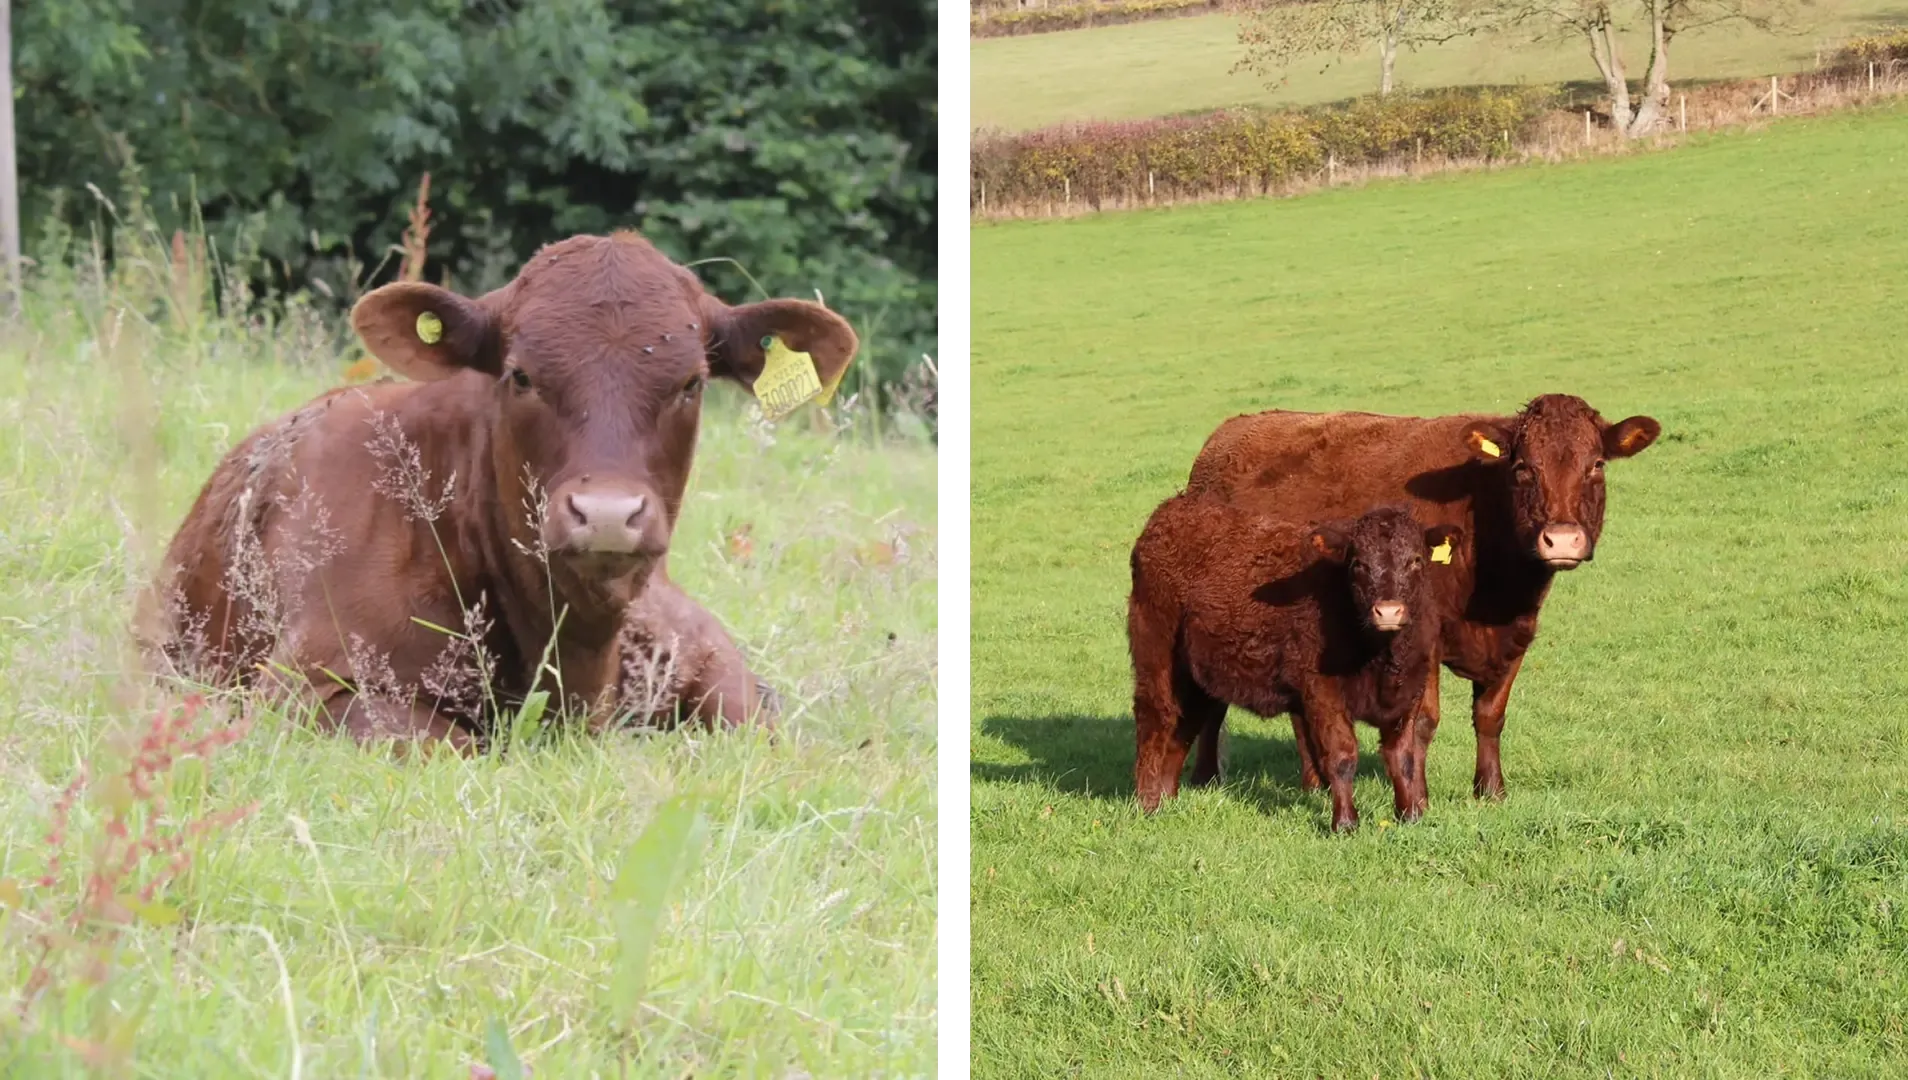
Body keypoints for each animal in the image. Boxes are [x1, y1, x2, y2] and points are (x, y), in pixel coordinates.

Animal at [1128, 497, 1461, 832]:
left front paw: (1410, 815)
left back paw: (1168, 798)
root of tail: (1170, 511)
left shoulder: (1410, 690)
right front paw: (1345, 823)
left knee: (1183, 727)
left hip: (1196, 677)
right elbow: (1342, 754)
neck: (1382, 658)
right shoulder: (1322, 689)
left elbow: (1402, 757)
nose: (1389, 612)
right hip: (1156, 654)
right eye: (1358, 564)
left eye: (1416, 560)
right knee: (1154, 719)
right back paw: (1148, 803)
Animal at [1183, 394, 1660, 801]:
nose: (1561, 539)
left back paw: (1314, 783)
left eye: (1596, 464)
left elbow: (1491, 714)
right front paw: (1419, 796)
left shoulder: (1517, 634)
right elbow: (1423, 722)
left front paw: (1491, 790)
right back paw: (1207, 777)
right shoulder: (1423, 638)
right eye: (1524, 467)